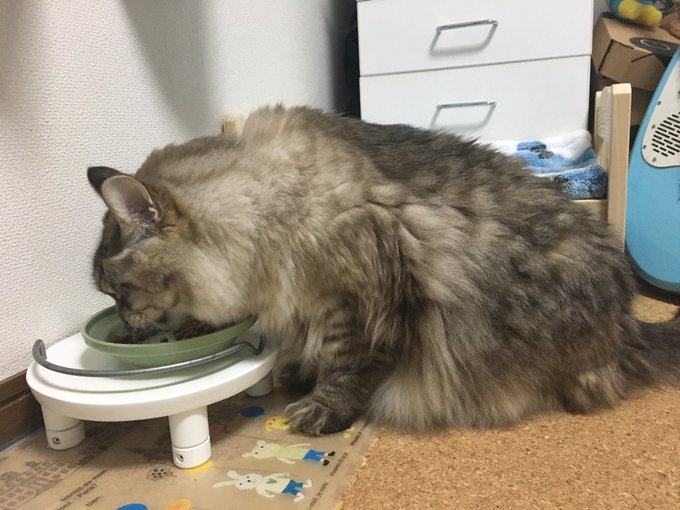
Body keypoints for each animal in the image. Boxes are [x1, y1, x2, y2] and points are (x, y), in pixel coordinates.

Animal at [88, 104, 680, 435]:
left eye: (118, 291)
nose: (125, 323)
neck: (265, 206)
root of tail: (629, 322)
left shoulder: (357, 296)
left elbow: (346, 367)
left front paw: (321, 409)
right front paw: (297, 371)